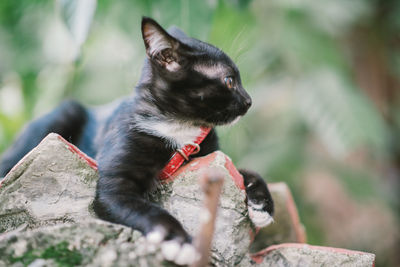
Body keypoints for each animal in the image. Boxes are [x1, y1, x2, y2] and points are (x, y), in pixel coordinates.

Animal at [0, 17, 274, 266]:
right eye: (229, 80)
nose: (249, 101)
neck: (178, 129)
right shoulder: (116, 182)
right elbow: (148, 209)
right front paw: (179, 241)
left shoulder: (210, 156)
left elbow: (245, 171)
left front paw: (262, 204)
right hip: (62, 116)